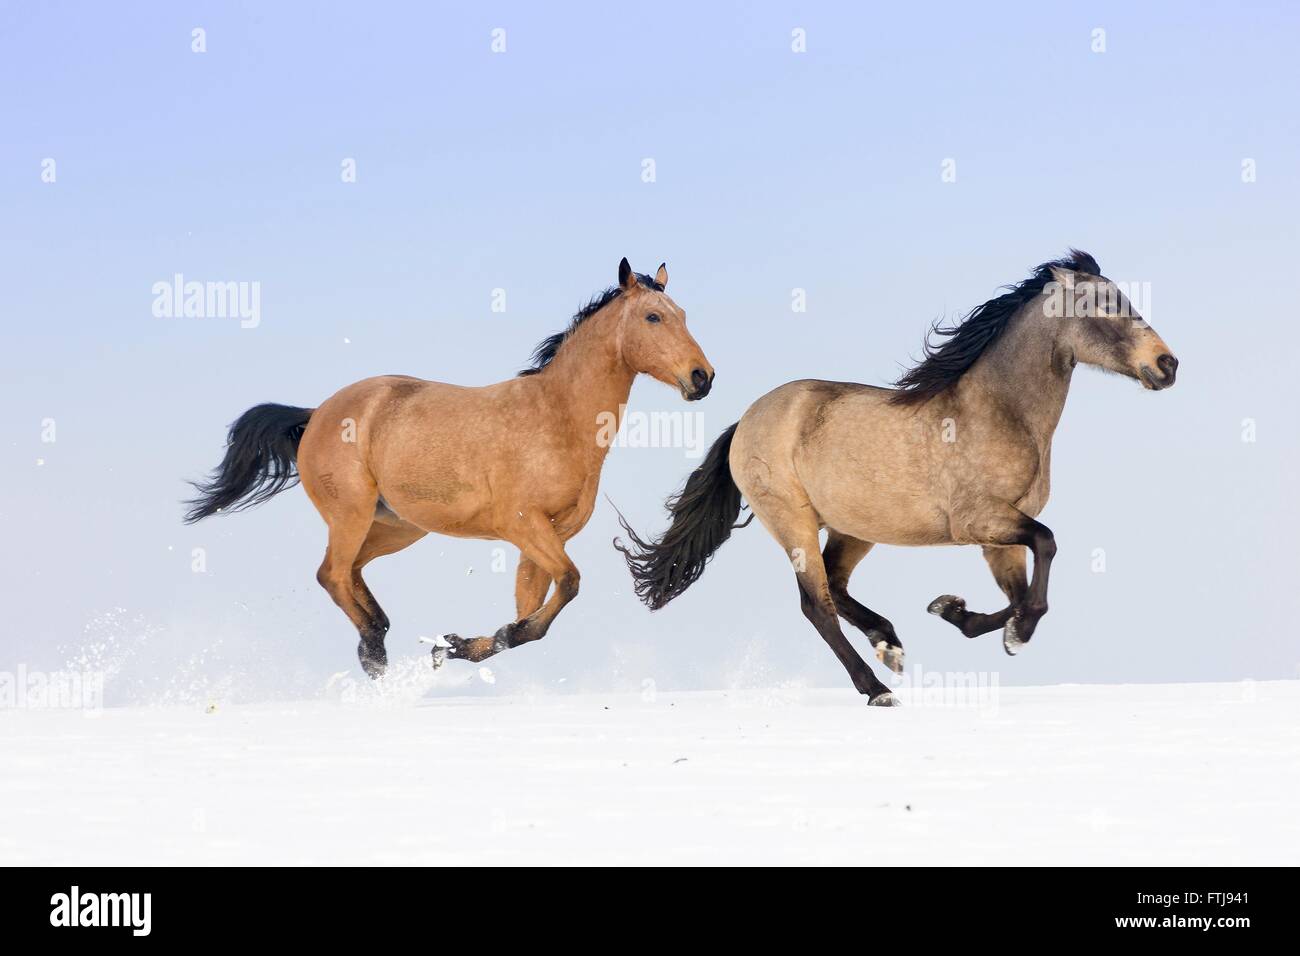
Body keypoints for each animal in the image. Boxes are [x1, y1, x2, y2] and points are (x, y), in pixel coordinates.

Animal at [184, 261, 717, 676]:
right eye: (653, 316)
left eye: (683, 316)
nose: (702, 378)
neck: (557, 417)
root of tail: (316, 413)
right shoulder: (522, 525)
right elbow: (568, 584)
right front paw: (463, 644)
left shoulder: (547, 536)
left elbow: (531, 616)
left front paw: (456, 647)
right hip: (352, 514)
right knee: (331, 574)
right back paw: (374, 653)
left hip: (397, 526)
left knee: (348, 571)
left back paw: (378, 634)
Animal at [618, 251, 1180, 707]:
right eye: (1104, 303)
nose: (1167, 364)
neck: (1001, 412)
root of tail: (745, 420)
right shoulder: (981, 521)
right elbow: (1046, 549)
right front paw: (1012, 632)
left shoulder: (997, 538)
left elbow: (1019, 594)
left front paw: (955, 611)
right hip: (794, 522)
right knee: (816, 604)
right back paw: (877, 688)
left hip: (854, 529)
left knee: (837, 588)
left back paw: (889, 644)